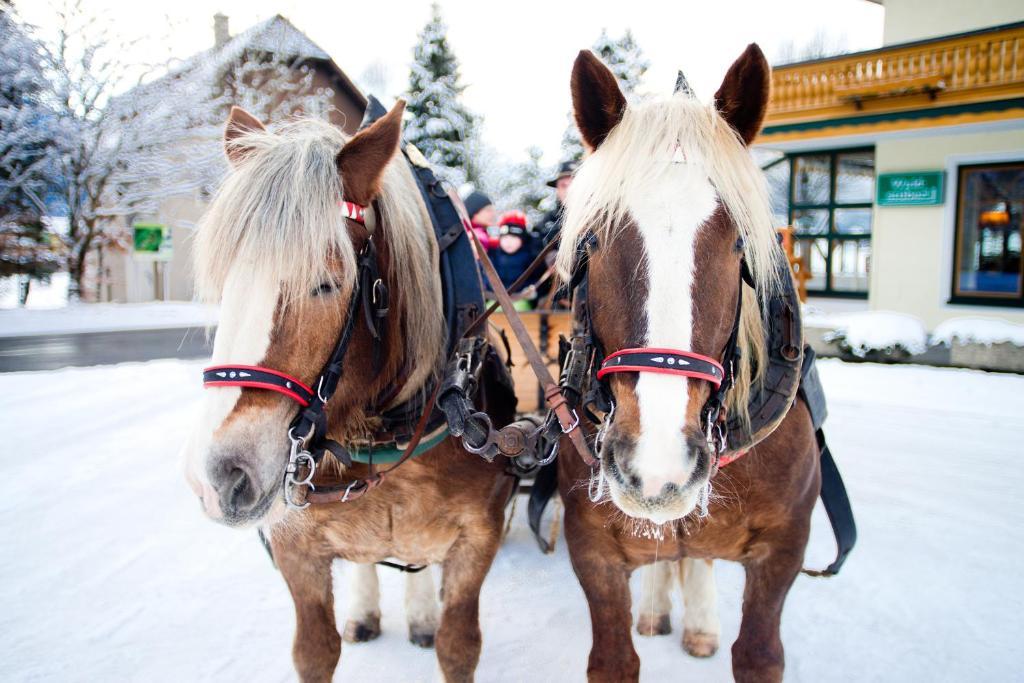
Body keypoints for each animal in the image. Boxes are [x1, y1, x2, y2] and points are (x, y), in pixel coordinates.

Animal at [182, 102, 520, 683]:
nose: (220, 476)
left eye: (326, 282)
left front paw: (431, 621)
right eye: (227, 282)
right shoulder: (294, 547)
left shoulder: (478, 540)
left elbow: (458, 647)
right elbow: (315, 651)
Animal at [552, 45, 823, 679]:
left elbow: (758, 654)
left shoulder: (785, 548)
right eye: (593, 240)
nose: (657, 465)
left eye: (740, 244)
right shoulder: (592, 549)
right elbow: (613, 659)